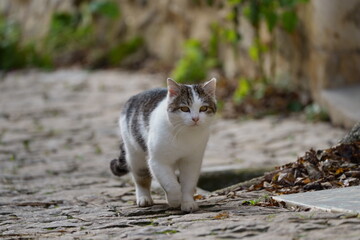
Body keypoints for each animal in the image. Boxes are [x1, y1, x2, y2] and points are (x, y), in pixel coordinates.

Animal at [109, 77, 217, 212]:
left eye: (203, 108)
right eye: (184, 109)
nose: (195, 118)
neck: (184, 134)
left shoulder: (192, 161)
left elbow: (188, 183)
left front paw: (187, 203)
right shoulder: (157, 161)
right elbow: (170, 184)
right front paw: (175, 200)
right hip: (135, 155)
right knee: (140, 178)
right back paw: (144, 198)